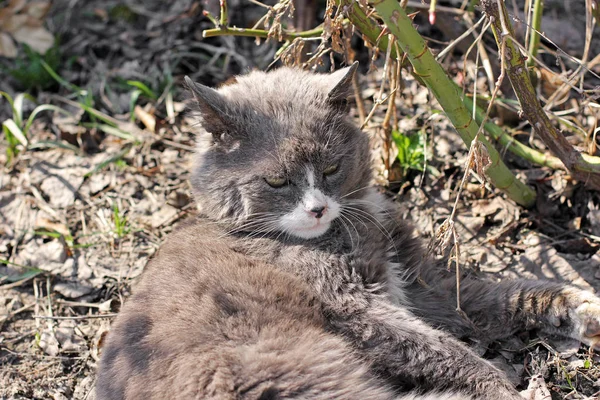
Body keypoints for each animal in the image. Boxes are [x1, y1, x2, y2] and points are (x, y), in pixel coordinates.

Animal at [96, 63, 600, 400]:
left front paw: (583, 309)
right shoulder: (354, 306)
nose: (318, 208)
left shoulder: (424, 285)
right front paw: (499, 386)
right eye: (276, 181)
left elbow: (504, 294)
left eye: (332, 168)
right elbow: (435, 345)